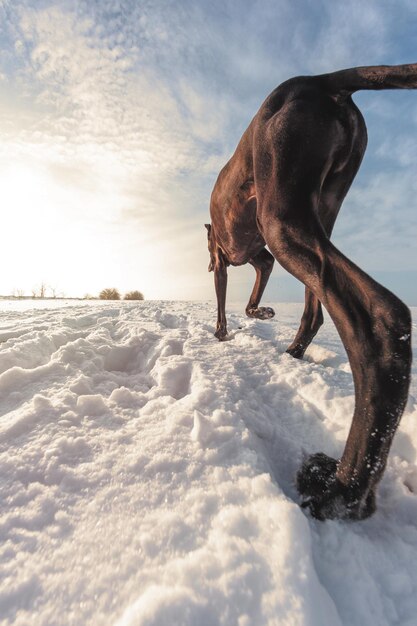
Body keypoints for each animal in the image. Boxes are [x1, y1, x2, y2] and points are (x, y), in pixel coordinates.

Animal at [206, 64, 414, 520]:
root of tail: (323, 80)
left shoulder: (228, 257)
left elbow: (224, 302)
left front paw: (221, 332)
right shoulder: (260, 258)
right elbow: (253, 296)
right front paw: (261, 314)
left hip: (281, 217)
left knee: (379, 318)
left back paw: (343, 487)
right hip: (317, 212)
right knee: (317, 310)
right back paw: (293, 353)